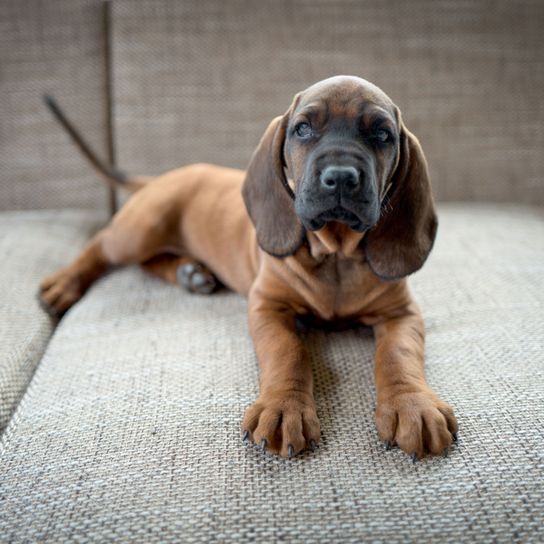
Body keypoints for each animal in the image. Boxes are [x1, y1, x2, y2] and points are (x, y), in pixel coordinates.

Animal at [39, 75, 454, 460]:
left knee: (149, 262)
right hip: (141, 228)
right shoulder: (267, 306)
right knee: (101, 246)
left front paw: (413, 405)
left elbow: (398, 355)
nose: (339, 177)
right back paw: (64, 284)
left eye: (382, 134)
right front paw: (284, 408)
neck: (336, 256)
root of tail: (161, 177)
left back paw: (190, 273)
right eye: (303, 128)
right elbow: (288, 351)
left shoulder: (401, 314)